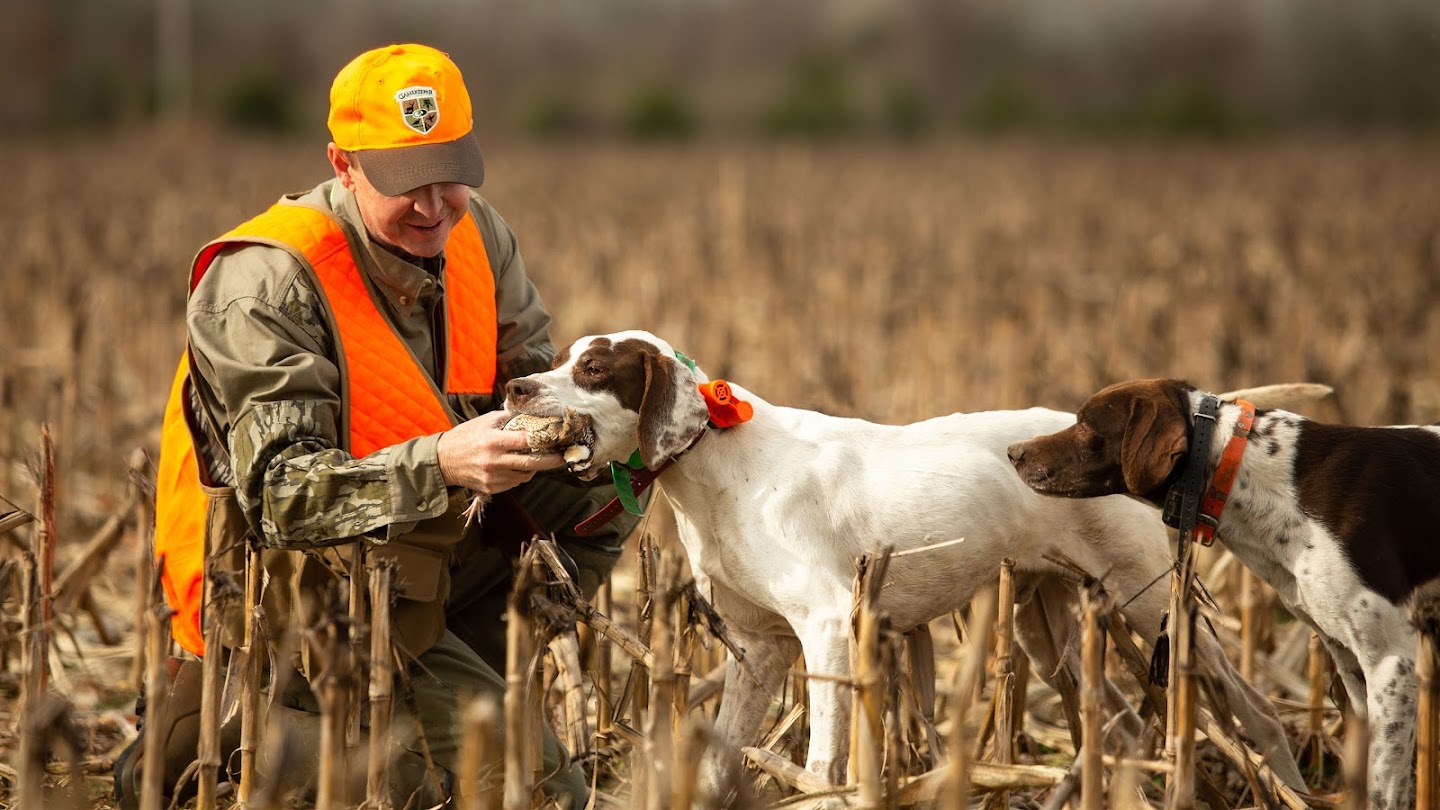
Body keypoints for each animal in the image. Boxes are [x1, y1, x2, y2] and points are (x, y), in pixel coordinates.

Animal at [504, 332, 1307, 795]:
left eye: (594, 368)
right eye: (558, 359)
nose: (514, 387)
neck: (719, 461)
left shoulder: (830, 626)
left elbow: (823, 767)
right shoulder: (759, 650)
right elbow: (718, 759)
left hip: (1152, 602)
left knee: (1258, 711)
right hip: (1044, 625)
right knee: (1119, 728)